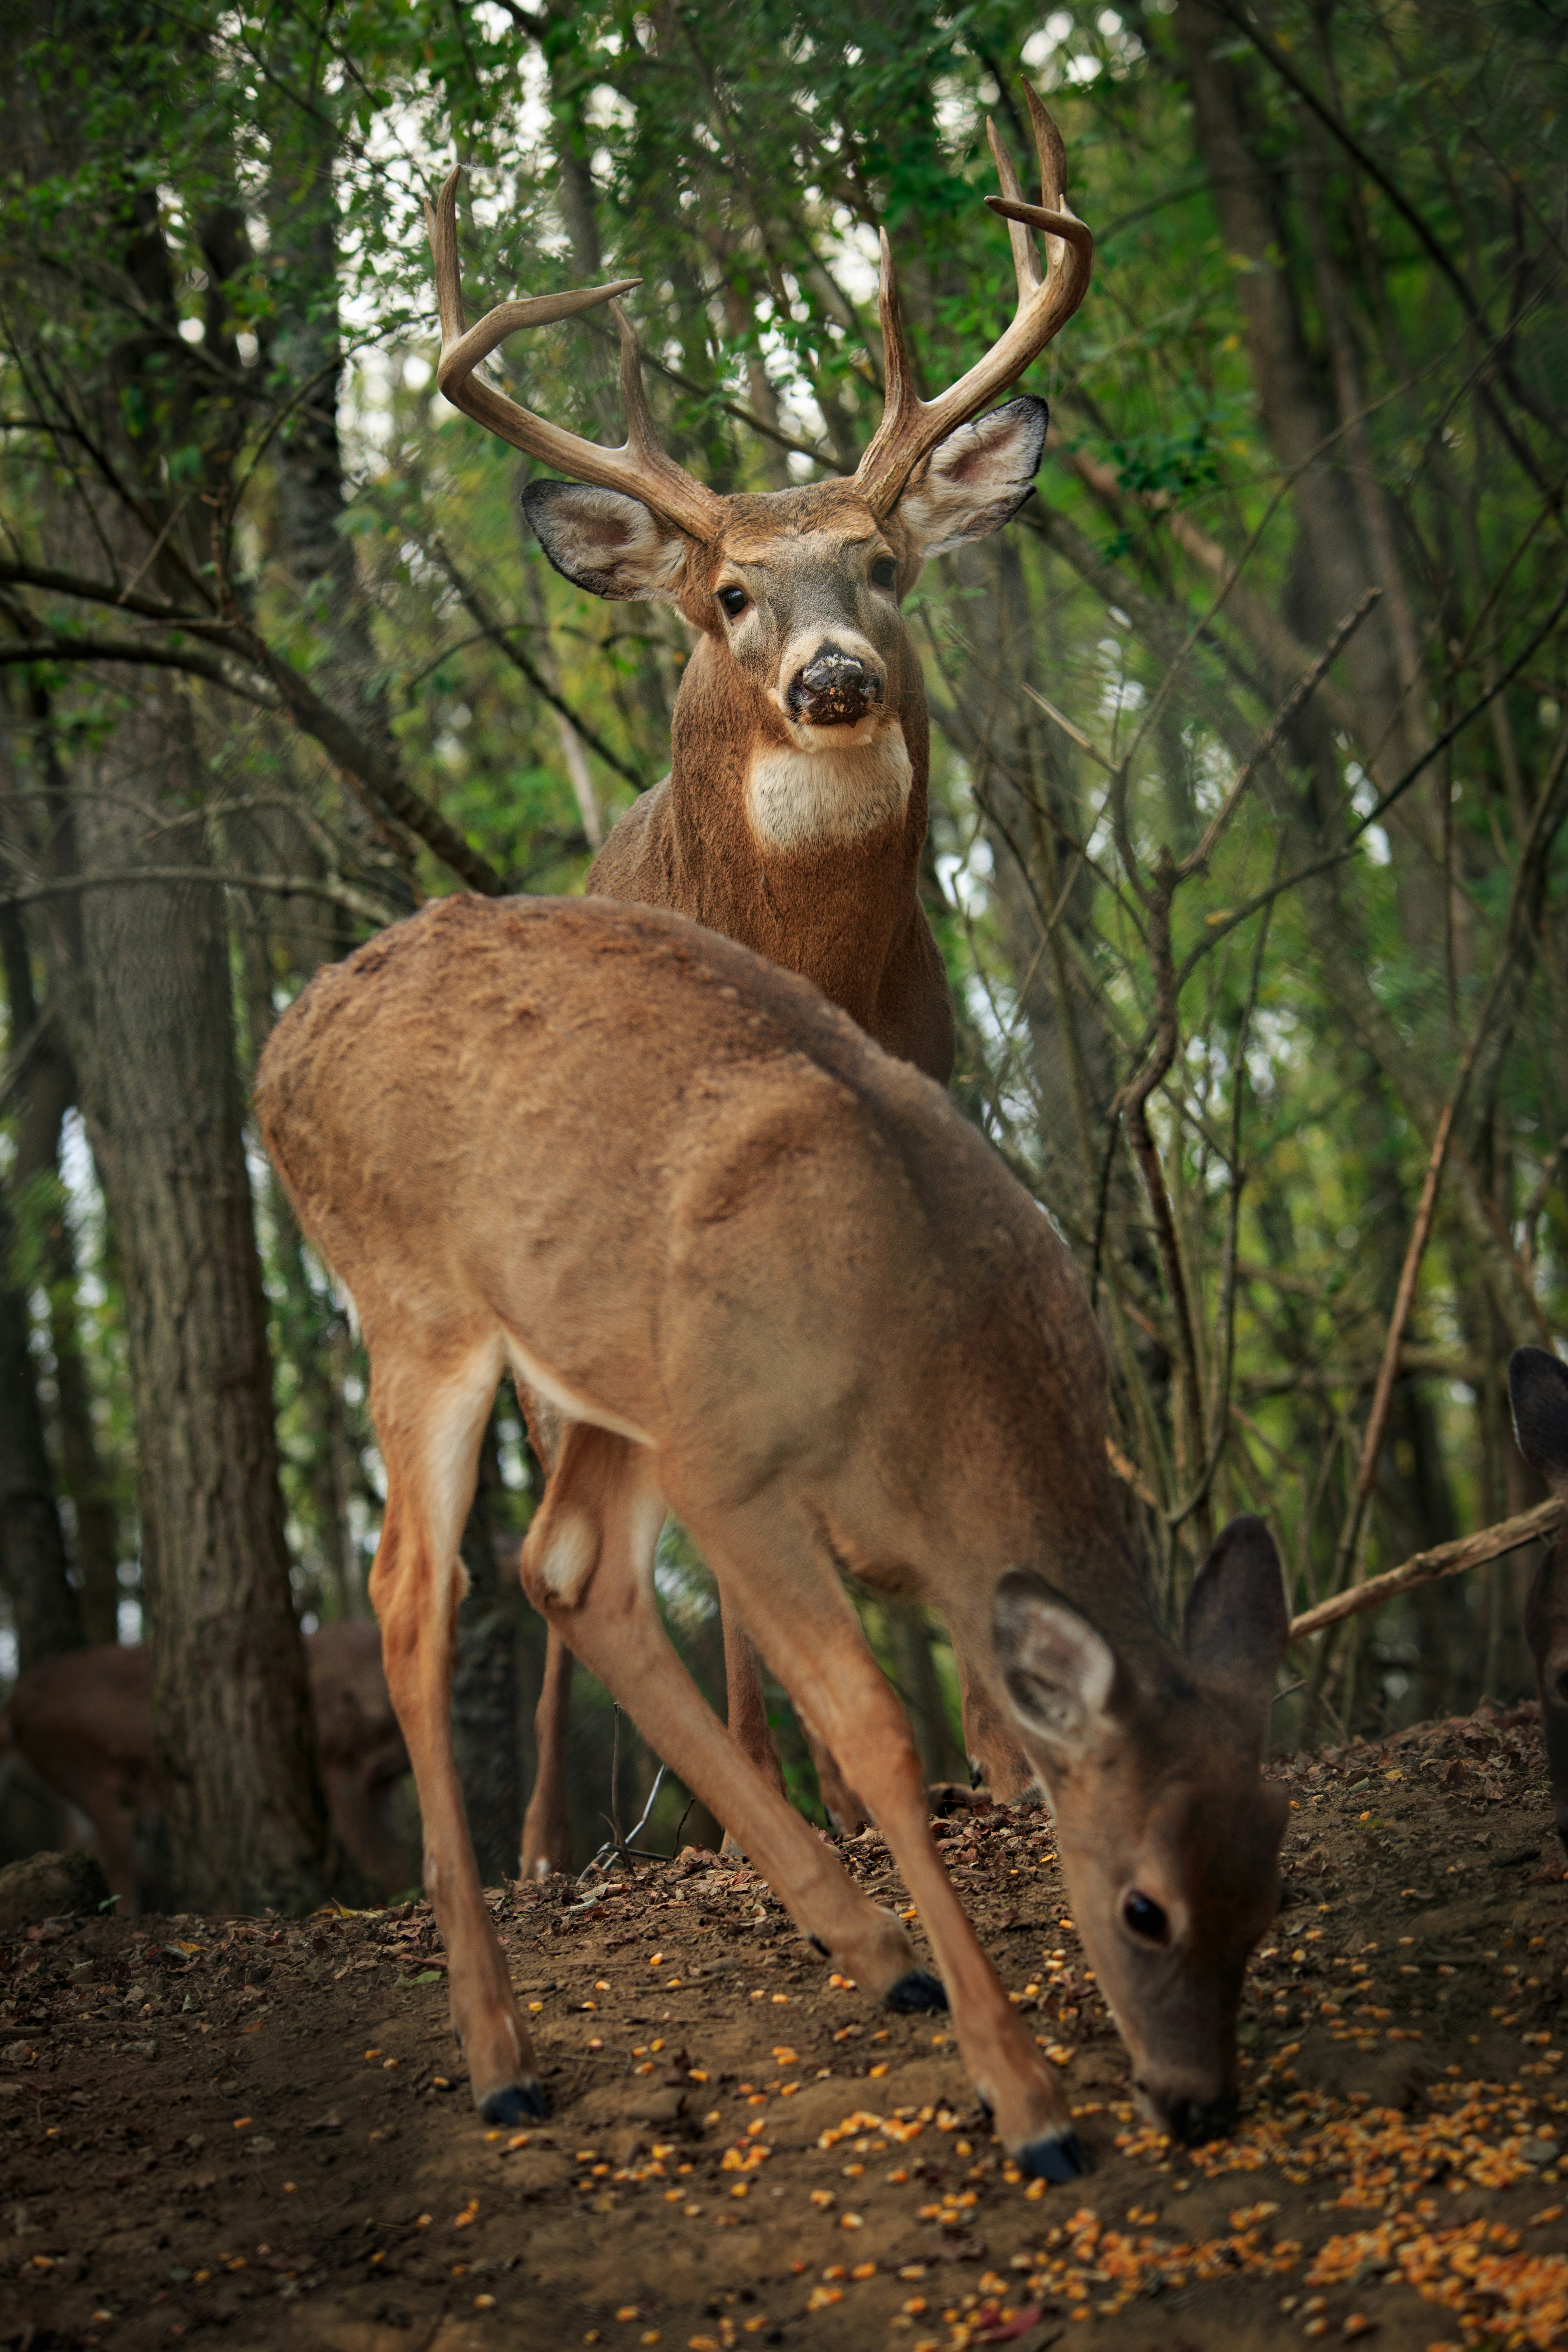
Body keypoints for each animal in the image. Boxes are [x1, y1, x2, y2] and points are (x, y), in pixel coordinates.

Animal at [257, 893, 1288, 2164]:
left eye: (1275, 1879)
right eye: (1144, 1907)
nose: (1198, 2102)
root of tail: (278, 1056)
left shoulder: (711, 1441)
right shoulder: (732, 1470)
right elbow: (875, 1730)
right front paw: (1029, 2102)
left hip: (623, 1359)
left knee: (566, 1566)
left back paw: (874, 1951)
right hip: (422, 1306)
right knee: (412, 1593)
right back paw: (502, 2058)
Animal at [423, 78, 1100, 1872]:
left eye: (883, 563)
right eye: (731, 591)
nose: (835, 675)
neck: (815, 979)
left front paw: (995, 1768)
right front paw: (780, 1788)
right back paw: (569, 1835)